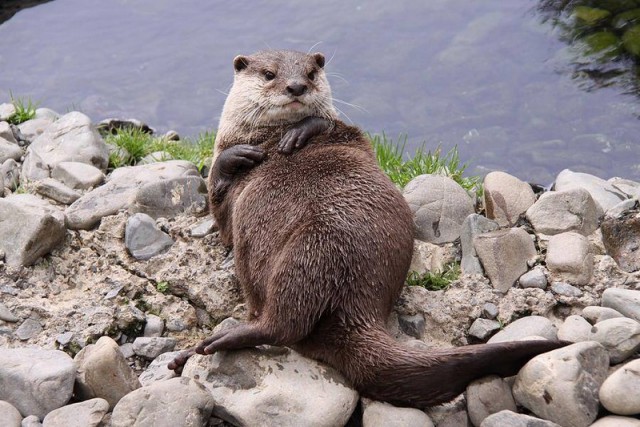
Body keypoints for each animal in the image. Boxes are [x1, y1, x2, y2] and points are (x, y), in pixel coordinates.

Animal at [170, 51, 564, 408]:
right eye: (269, 74)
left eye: (311, 72)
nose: (296, 86)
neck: (267, 137)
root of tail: (358, 307)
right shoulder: (225, 198)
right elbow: (219, 197)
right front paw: (238, 155)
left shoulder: (352, 137)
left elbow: (332, 125)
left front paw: (304, 128)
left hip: (310, 250)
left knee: (283, 324)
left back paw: (214, 342)